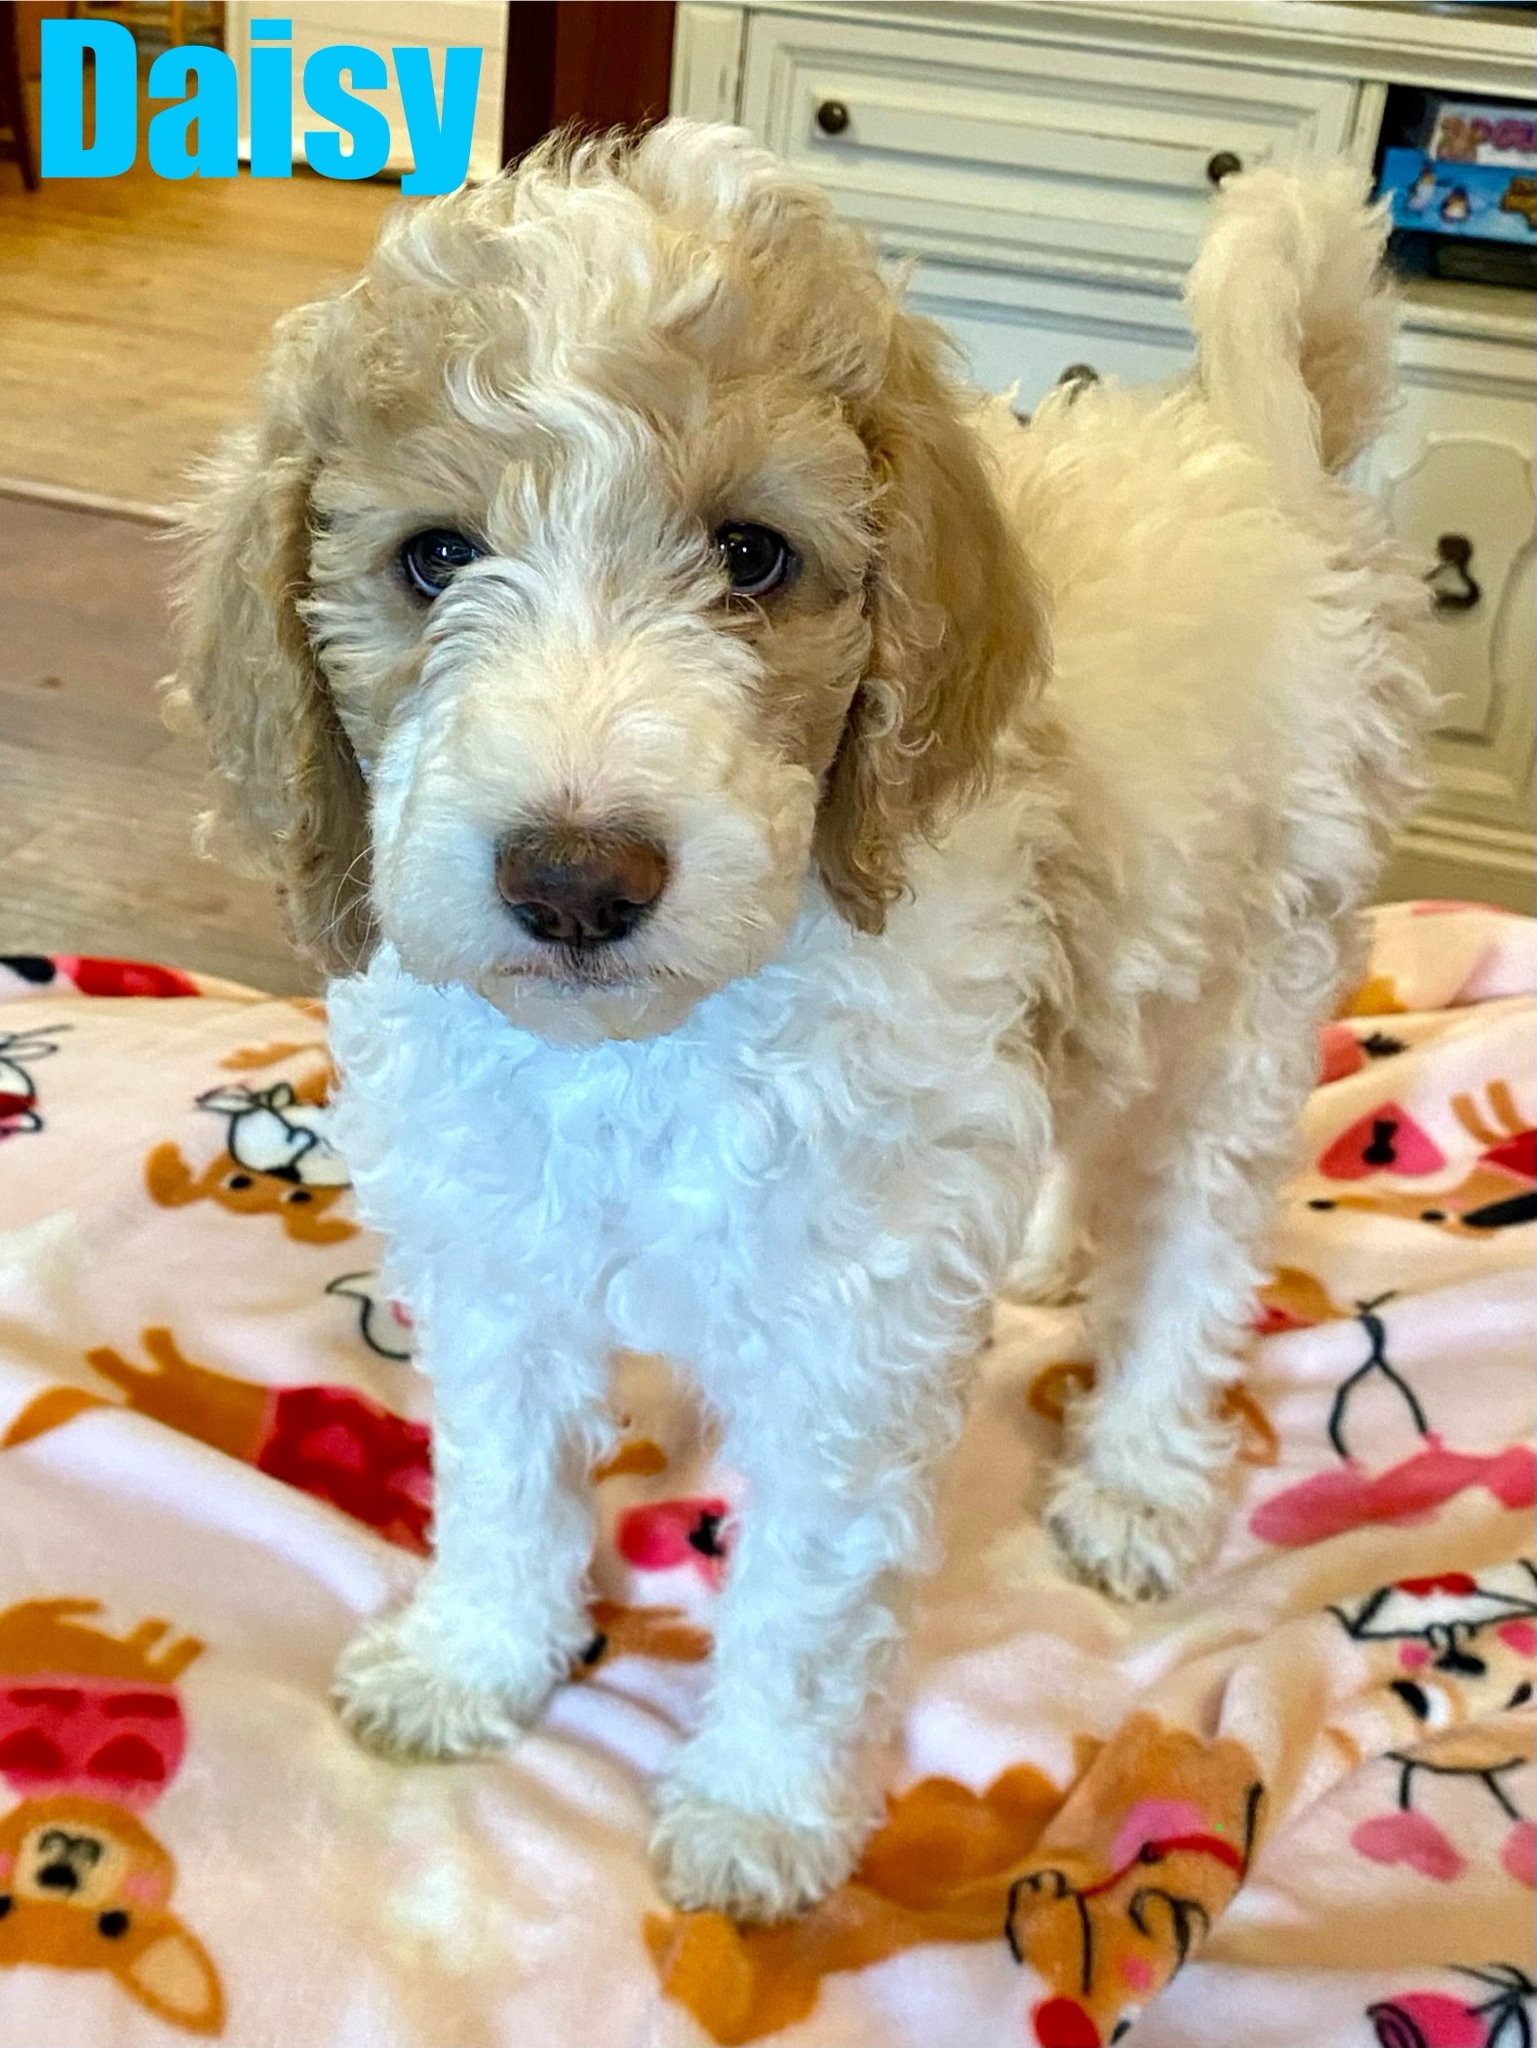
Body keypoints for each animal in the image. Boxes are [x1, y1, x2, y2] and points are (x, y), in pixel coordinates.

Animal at [174, 128, 1442, 1916]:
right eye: (433, 558)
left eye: (751, 558)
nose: (575, 881)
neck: (647, 1052)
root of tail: (1271, 463)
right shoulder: (498, 1262)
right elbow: (502, 1480)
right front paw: (473, 1662)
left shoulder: (852, 1334)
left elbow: (802, 1596)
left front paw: (762, 1809)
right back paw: (1046, 1250)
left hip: (1260, 988)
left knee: (1196, 1239)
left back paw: (1136, 1472)